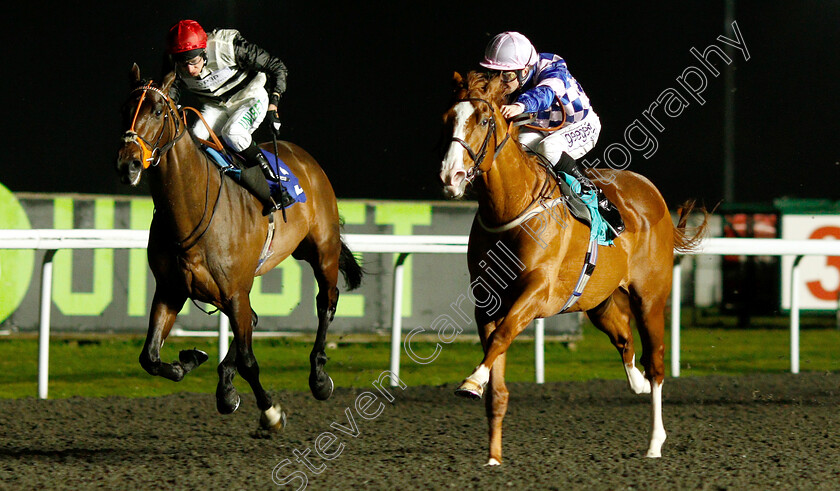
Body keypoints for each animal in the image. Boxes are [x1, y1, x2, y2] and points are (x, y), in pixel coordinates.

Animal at [115, 64, 360, 430]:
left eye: (157, 111)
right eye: (125, 109)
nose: (127, 164)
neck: (190, 209)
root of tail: (302, 156)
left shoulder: (234, 290)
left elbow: (249, 360)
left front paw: (271, 412)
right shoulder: (172, 289)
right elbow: (150, 357)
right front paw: (191, 360)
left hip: (322, 250)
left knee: (326, 302)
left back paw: (318, 377)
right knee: (254, 318)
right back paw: (225, 385)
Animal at [440, 72, 708, 466]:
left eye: (485, 119)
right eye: (447, 119)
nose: (452, 175)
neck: (512, 208)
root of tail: (653, 194)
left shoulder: (538, 292)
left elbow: (502, 337)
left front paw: (472, 381)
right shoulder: (488, 302)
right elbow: (496, 369)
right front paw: (493, 457)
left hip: (650, 298)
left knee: (656, 362)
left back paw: (654, 442)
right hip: (599, 301)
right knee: (624, 340)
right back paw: (637, 383)